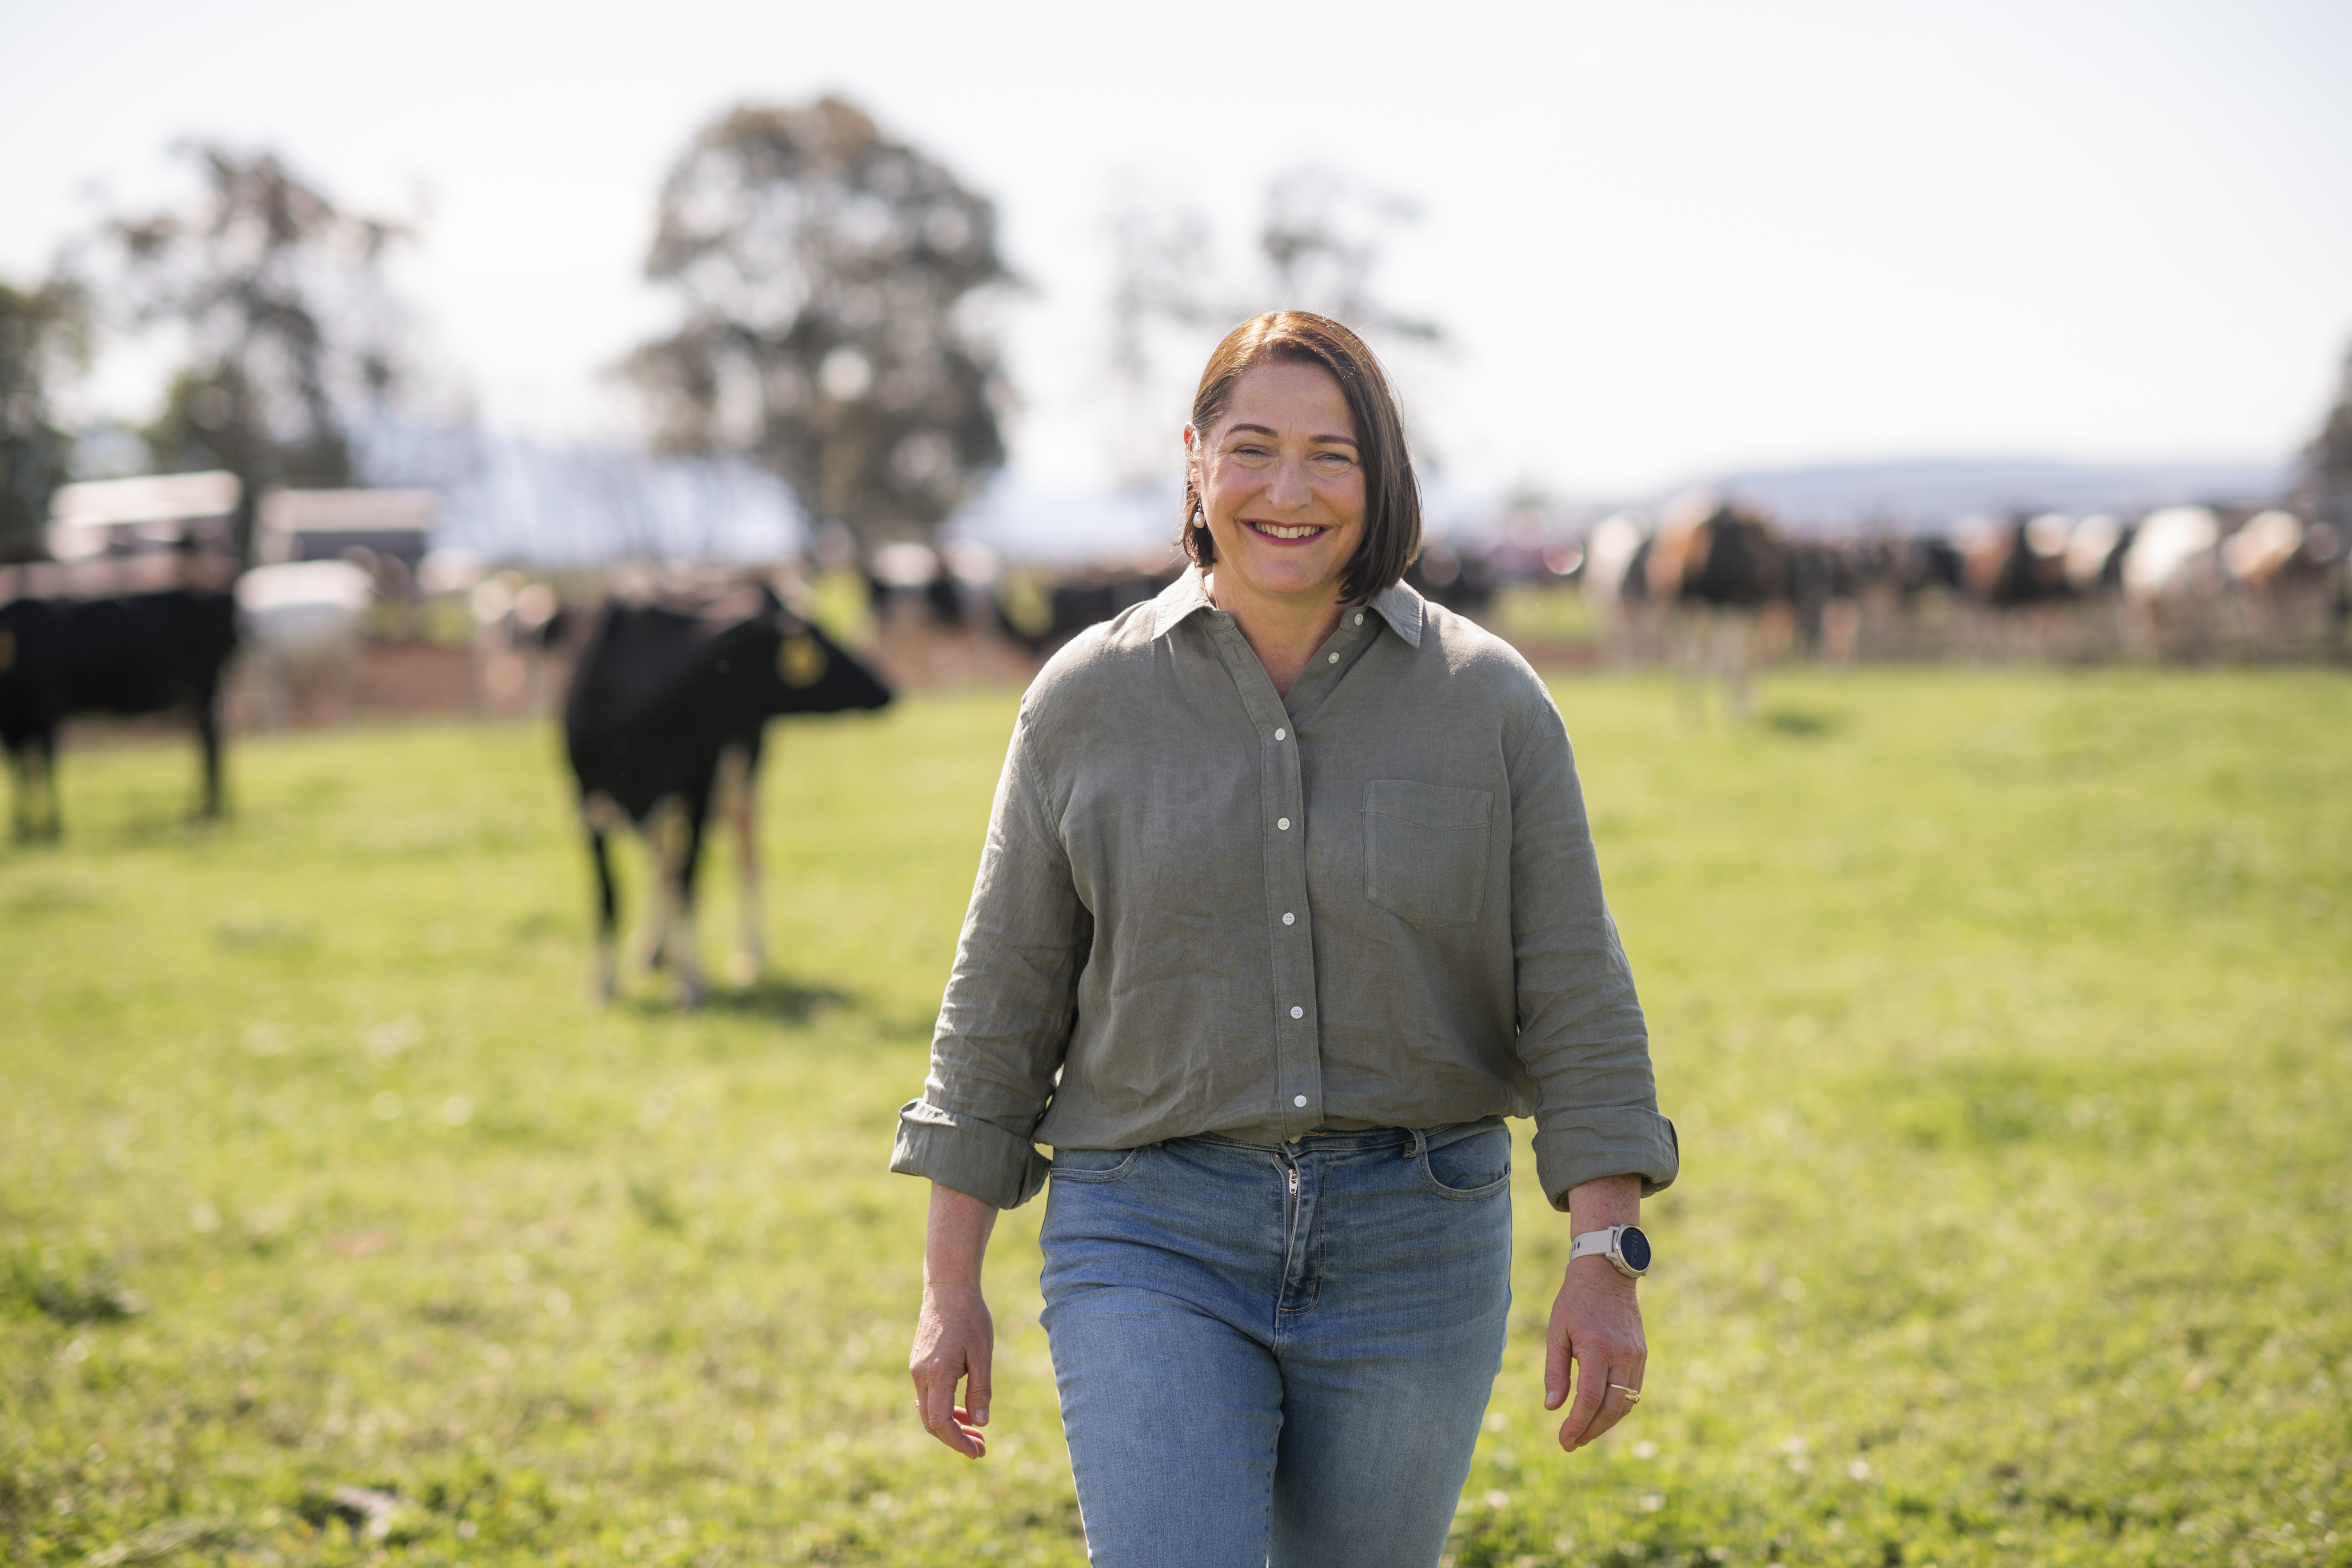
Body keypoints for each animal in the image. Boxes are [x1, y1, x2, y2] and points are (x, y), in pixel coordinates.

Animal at [1, 583, 239, 841]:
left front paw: (53, 829)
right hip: (193, 697)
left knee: (210, 745)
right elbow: (20, 774)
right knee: (208, 743)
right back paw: (203, 812)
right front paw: (23, 830)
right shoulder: (12, 729)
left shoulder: (49, 712)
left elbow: (46, 769)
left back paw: (207, 814)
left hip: (203, 689)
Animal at [564, 580, 893, 1006]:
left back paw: (751, 957)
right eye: (819, 638)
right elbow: (609, 893)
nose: (886, 690)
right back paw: (655, 952)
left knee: (743, 854)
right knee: (660, 857)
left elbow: (687, 884)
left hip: (743, 780)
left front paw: (691, 983)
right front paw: (604, 985)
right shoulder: (585, 796)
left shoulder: (700, 790)